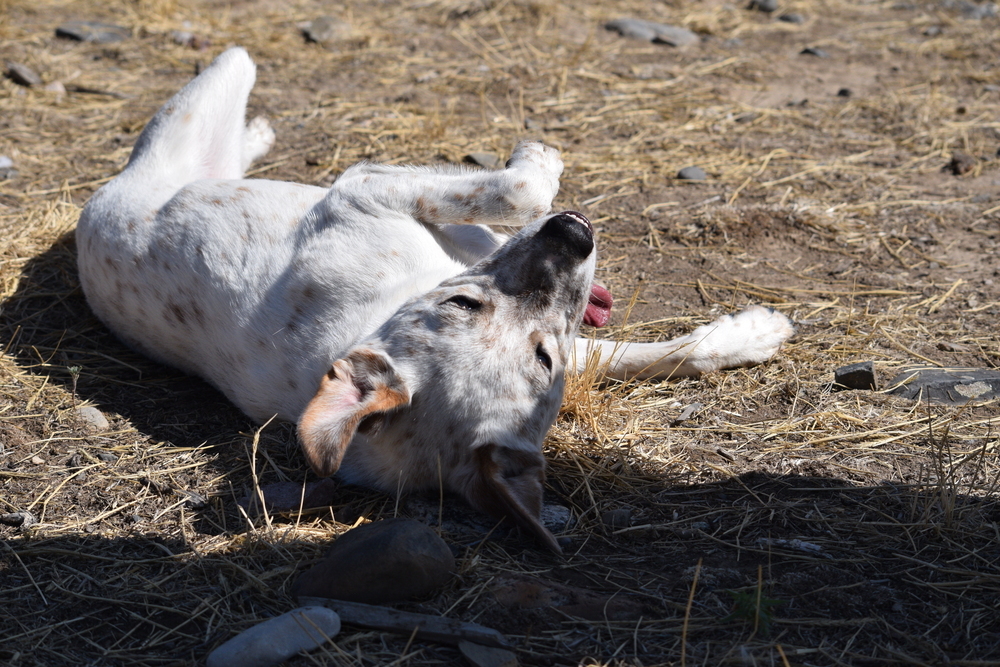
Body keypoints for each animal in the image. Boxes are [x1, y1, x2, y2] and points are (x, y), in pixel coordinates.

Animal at [76, 48, 796, 552]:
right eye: (462, 307)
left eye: (543, 361)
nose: (575, 235)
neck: (384, 306)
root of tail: (94, 208)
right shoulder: (363, 188)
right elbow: (517, 191)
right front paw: (540, 159)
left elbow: (650, 351)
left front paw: (750, 334)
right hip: (213, 92)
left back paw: (255, 137)